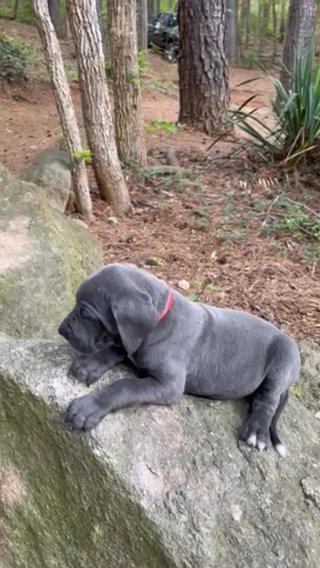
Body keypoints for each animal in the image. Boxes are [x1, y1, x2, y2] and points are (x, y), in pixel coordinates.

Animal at [58, 262, 302, 458]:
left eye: (86, 313)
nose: (61, 330)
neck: (160, 322)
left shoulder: (169, 385)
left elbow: (125, 385)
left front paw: (88, 407)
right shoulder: (131, 342)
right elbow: (116, 349)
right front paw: (89, 364)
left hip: (285, 358)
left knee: (268, 400)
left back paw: (257, 431)